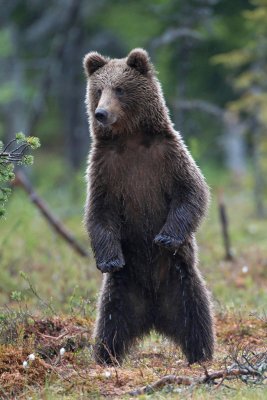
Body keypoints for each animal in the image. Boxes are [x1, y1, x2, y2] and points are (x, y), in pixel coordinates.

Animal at [82, 48, 215, 364]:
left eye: (120, 88)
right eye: (98, 90)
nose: (101, 114)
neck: (130, 138)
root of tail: (154, 316)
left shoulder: (167, 157)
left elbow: (192, 193)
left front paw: (165, 236)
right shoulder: (106, 170)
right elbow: (99, 213)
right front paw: (108, 260)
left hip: (181, 282)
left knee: (197, 316)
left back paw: (201, 355)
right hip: (122, 291)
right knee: (109, 325)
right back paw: (105, 357)